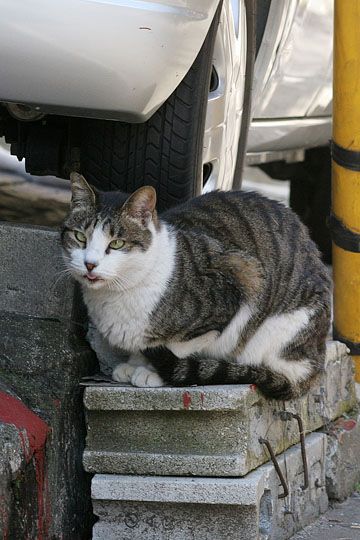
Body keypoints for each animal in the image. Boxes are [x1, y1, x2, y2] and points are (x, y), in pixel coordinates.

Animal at [60, 173, 330, 400]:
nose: (90, 264)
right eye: (80, 237)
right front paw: (134, 363)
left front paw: (152, 372)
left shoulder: (239, 283)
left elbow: (178, 346)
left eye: (116, 243)